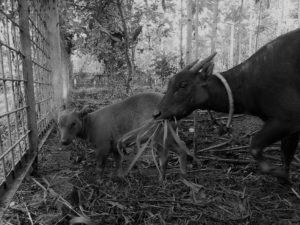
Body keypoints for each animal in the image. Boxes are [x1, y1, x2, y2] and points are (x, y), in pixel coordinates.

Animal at [57, 92, 186, 179]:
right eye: (59, 124)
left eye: (73, 123)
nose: (64, 141)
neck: (91, 124)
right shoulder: (115, 144)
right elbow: (118, 161)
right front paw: (119, 176)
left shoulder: (103, 146)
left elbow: (100, 165)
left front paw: (99, 181)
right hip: (167, 134)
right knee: (180, 146)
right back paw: (181, 173)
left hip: (159, 136)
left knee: (167, 155)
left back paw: (166, 177)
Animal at [156, 28, 300, 184]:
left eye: (183, 84)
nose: (157, 113)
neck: (248, 82)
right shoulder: (291, 128)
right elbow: (286, 155)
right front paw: (285, 180)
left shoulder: (288, 120)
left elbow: (255, 146)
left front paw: (279, 173)